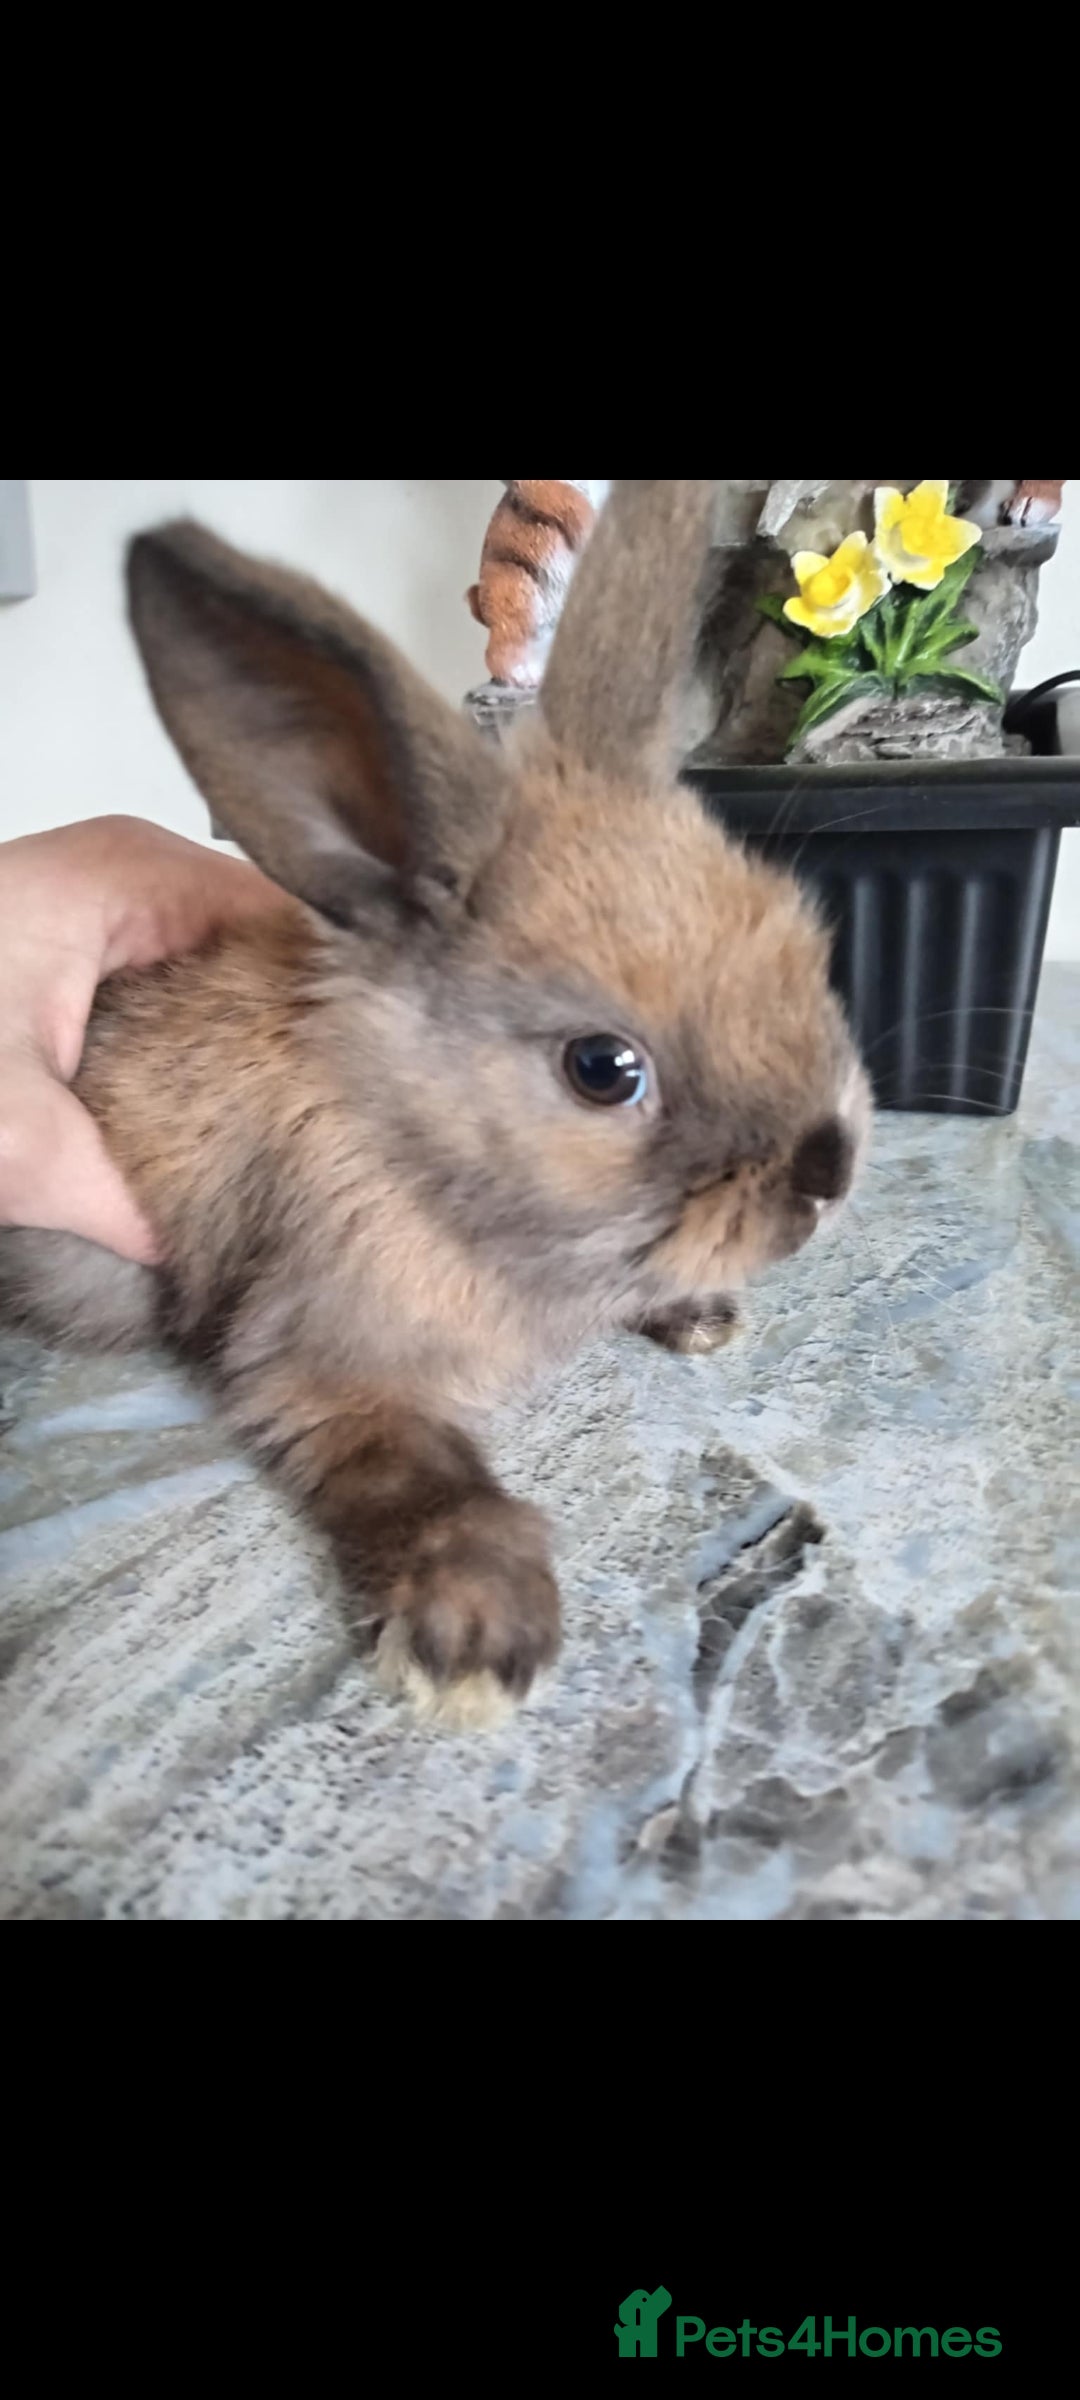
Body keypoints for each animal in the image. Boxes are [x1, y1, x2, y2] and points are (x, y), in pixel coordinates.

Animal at [0, 483, 871, 1726]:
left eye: (802, 938)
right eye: (603, 1068)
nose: (830, 1172)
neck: (413, 1135)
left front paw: (700, 1316)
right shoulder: (324, 1357)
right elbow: (419, 1476)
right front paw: (477, 1640)